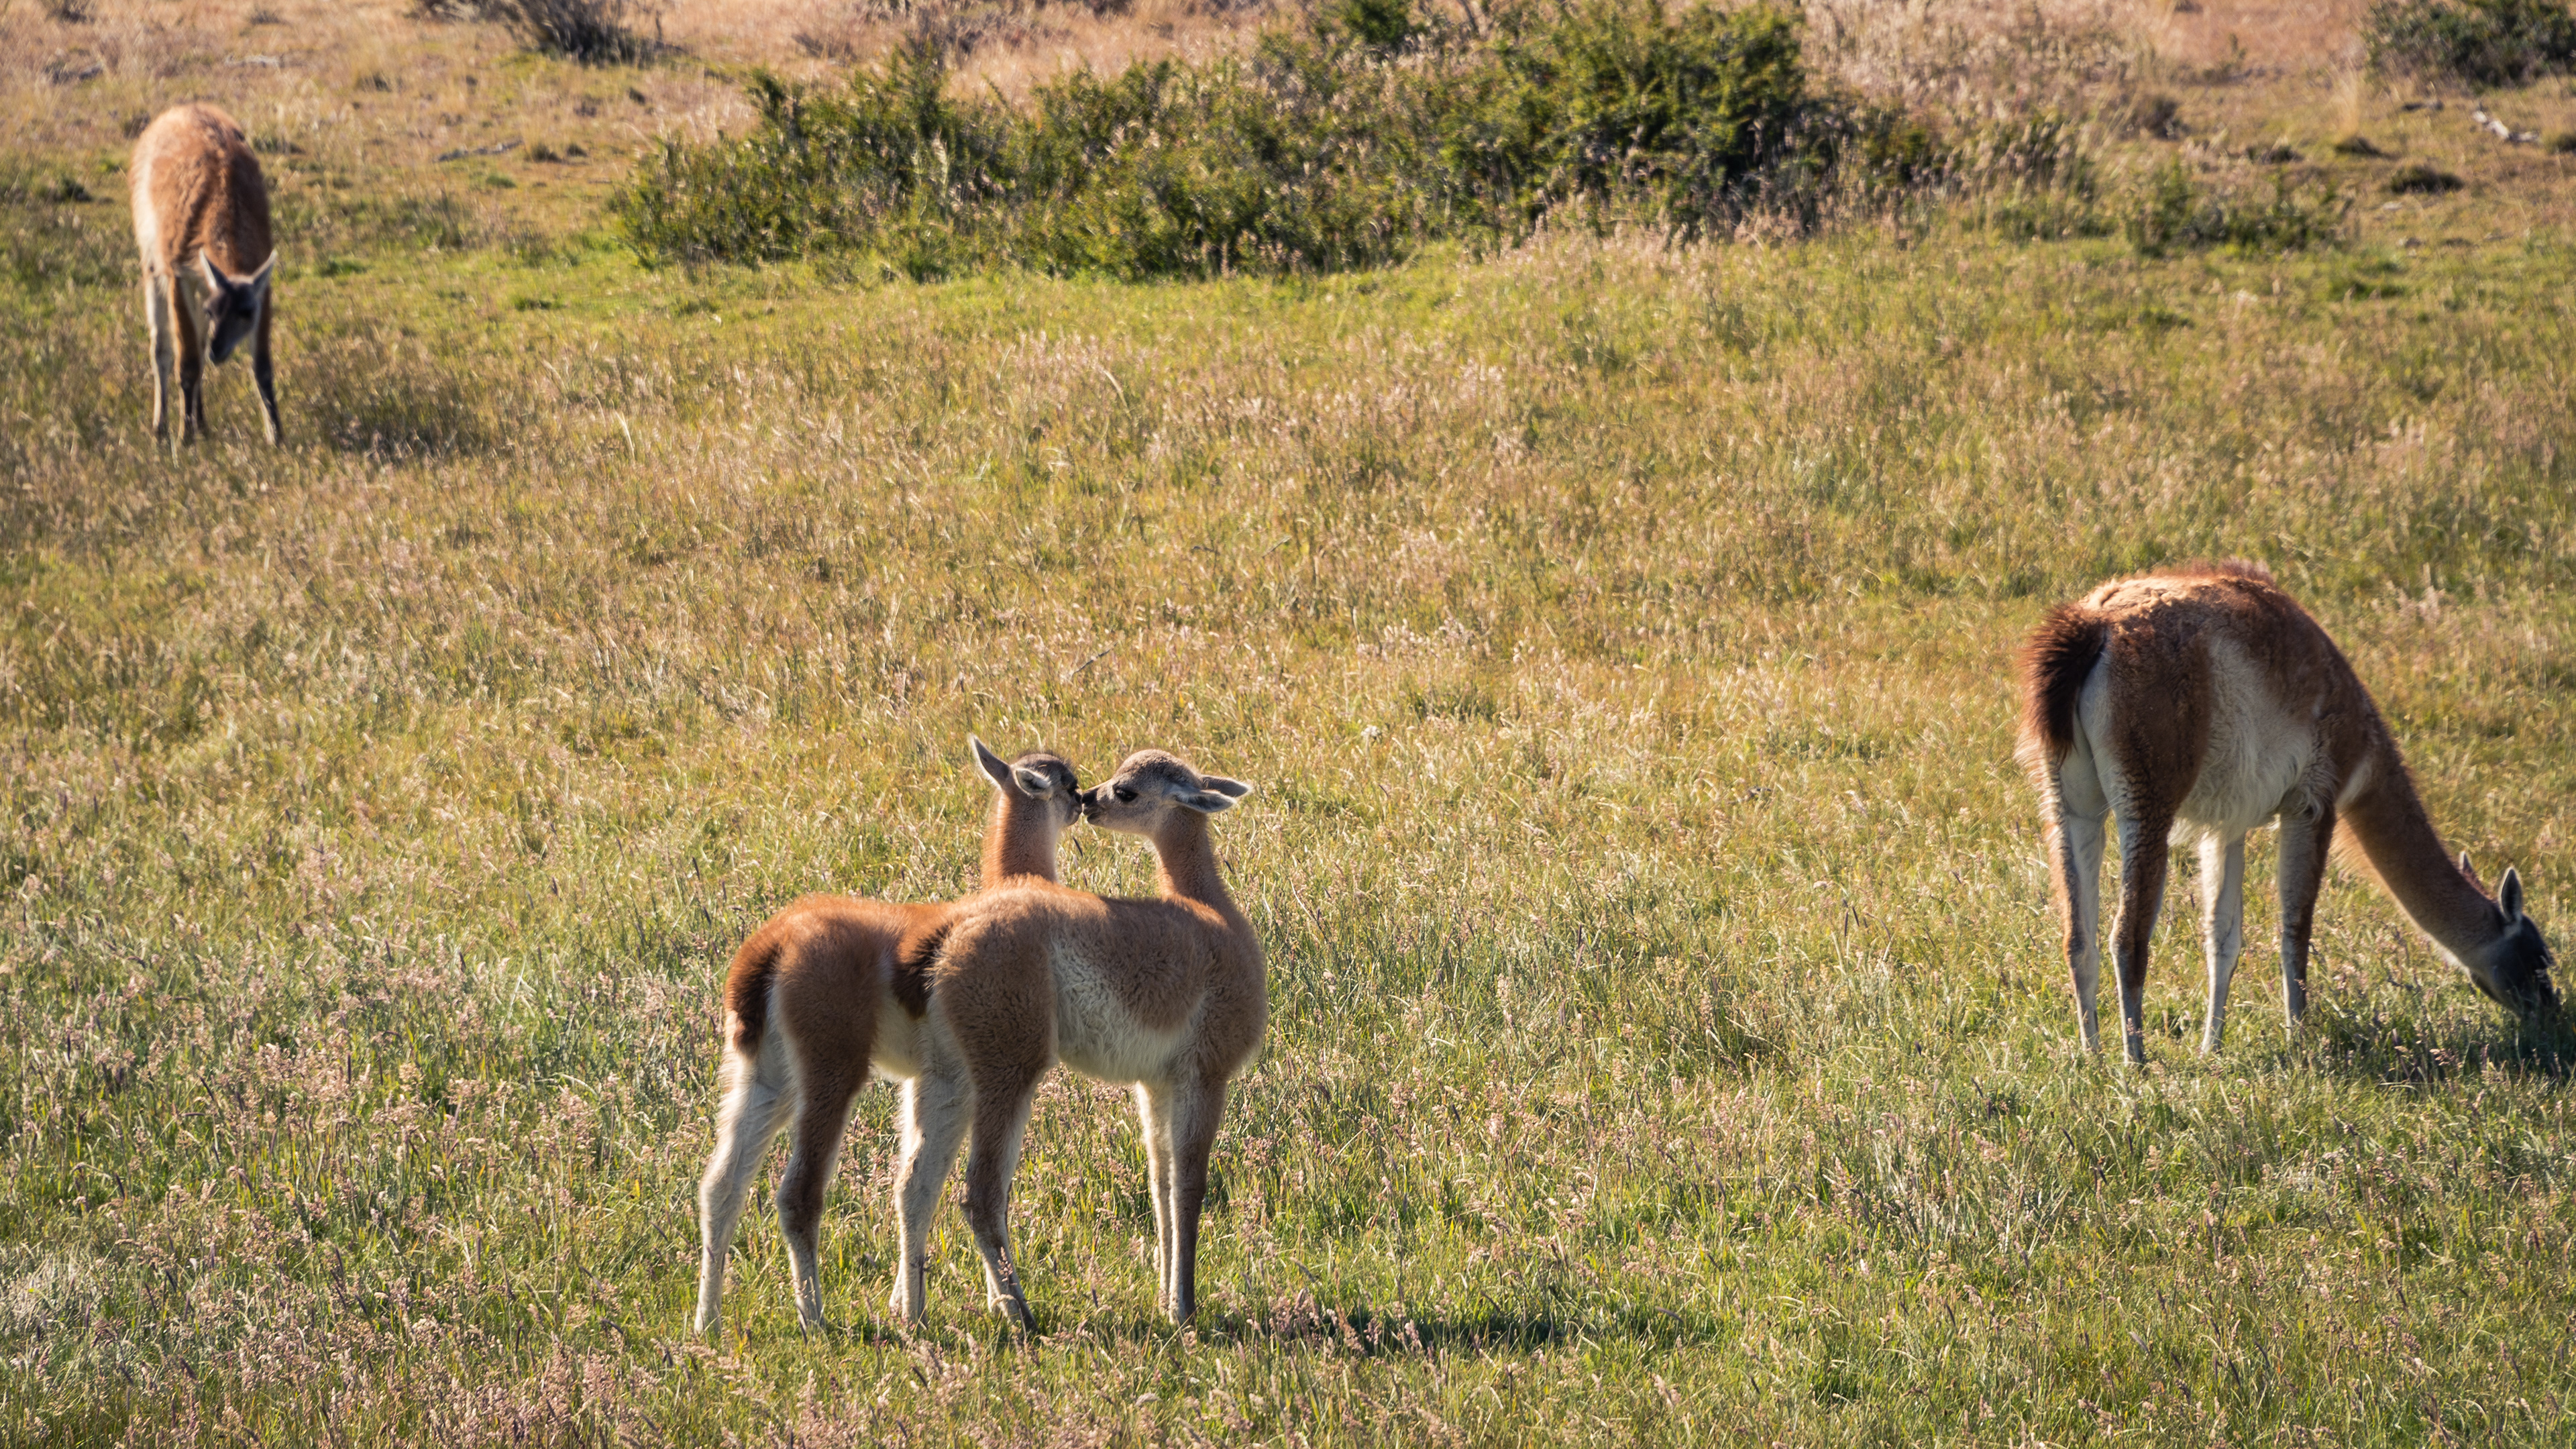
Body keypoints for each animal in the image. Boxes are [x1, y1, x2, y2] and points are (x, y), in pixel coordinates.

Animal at [130, 104, 281, 448]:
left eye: (246, 312)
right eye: (215, 311)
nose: (219, 351)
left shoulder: (261, 285)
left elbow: (263, 367)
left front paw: (277, 437)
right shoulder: (178, 274)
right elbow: (186, 363)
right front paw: (184, 439)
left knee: (193, 346)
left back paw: (202, 423)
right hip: (151, 263)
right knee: (161, 348)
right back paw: (161, 429)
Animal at [693, 737, 1085, 1338]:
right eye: (1067, 783)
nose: (1086, 801)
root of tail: (768, 950)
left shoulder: (934, 1080)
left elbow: (913, 1188)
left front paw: (909, 1307)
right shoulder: (966, 1078)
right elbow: (954, 1190)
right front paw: (992, 1305)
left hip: (764, 1075)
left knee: (721, 1186)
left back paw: (707, 1323)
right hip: (831, 1066)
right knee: (797, 1194)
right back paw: (813, 1319)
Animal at [887, 749, 1260, 1331]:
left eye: (1125, 790)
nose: (1088, 801)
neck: (1214, 916)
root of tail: (942, 945)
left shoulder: (1157, 1081)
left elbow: (1161, 1183)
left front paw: (1164, 1298)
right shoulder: (1207, 1070)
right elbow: (1191, 1184)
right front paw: (1185, 1309)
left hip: (941, 1072)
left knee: (913, 1185)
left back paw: (913, 1316)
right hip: (1009, 1058)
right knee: (980, 1193)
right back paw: (1020, 1314)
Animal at [2017, 560, 2557, 1065]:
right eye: (2539, 959)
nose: (2549, 1015)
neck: (2366, 750)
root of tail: (2095, 625)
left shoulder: (2227, 825)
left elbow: (2223, 940)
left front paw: (2211, 1049)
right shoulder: (2315, 800)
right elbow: (2295, 929)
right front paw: (2300, 1039)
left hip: (2070, 801)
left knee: (2078, 937)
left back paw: (2093, 1054)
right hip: (2148, 792)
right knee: (2127, 937)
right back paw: (2137, 1061)